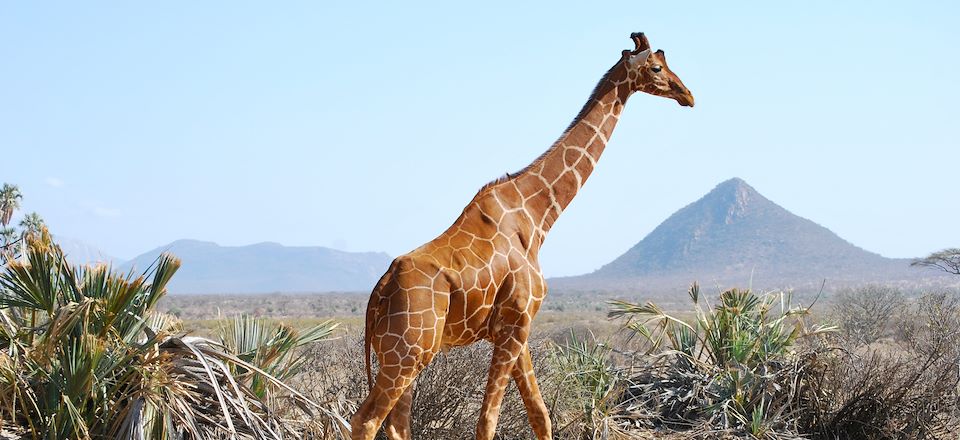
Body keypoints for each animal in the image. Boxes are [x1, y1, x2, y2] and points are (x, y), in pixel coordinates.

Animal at [348, 31, 692, 440]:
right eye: (656, 67)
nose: (687, 94)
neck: (538, 216)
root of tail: (379, 291)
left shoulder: (519, 328)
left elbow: (540, 414)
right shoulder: (514, 324)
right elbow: (488, 421)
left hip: (401, 353)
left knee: (397, 424)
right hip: (408, 352)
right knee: (366, 419)